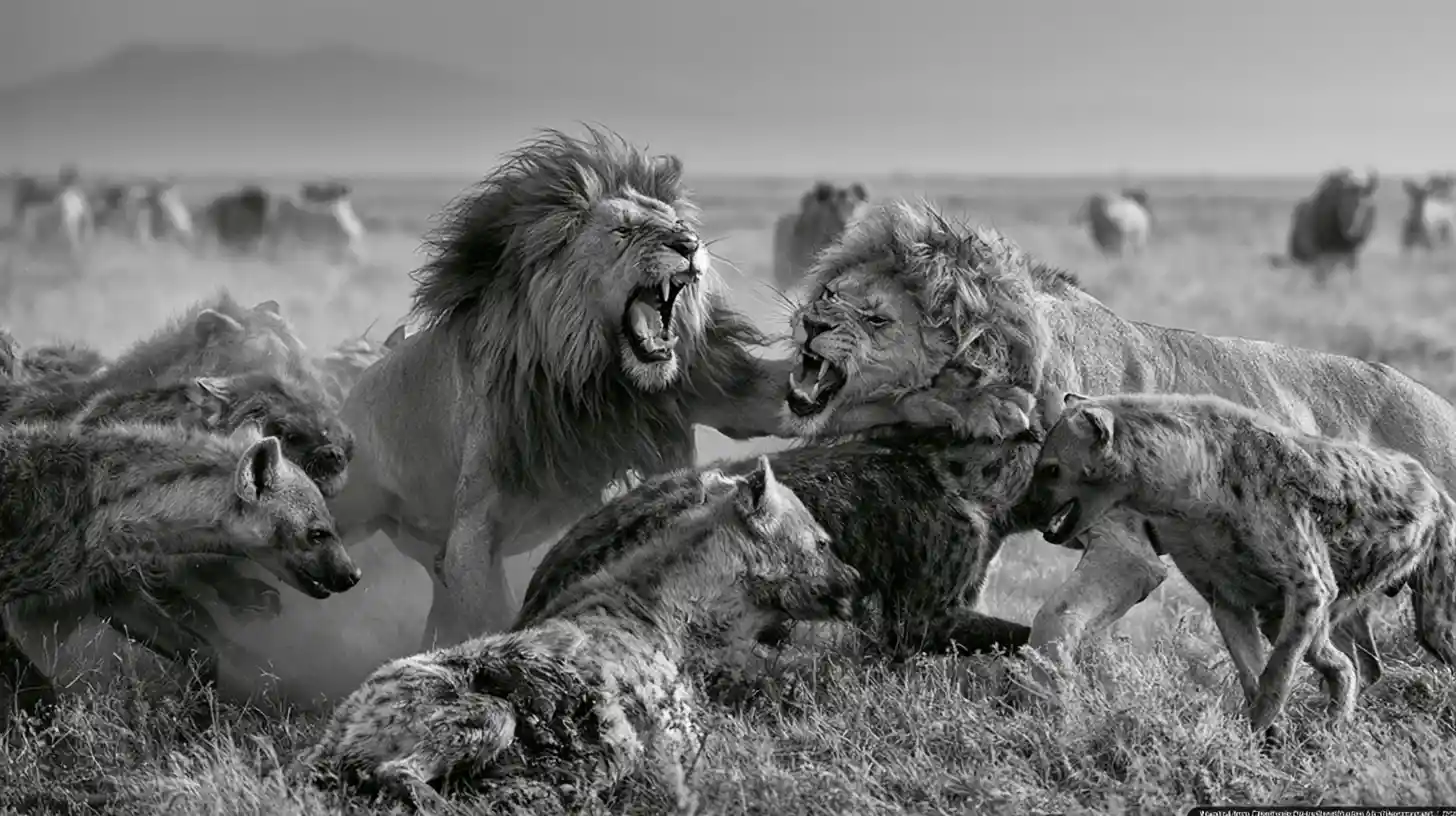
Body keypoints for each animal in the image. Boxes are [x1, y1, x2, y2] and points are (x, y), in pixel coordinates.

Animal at [318, 128, 1027, 655]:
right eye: (626, 231)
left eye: (677, 222)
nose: (688, 245)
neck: (600, 378)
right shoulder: (477, 523)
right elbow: (484, 601)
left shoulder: (709, 389)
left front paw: (968, 400)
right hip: (356, 505)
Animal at [786, 197, 1456, 691]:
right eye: (829, 296)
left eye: (877, 319)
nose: (810, 323)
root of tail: (1441, 405)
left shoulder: (1127, 548)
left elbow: (1052, 621)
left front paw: (1047, 704)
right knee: (1363, 663)